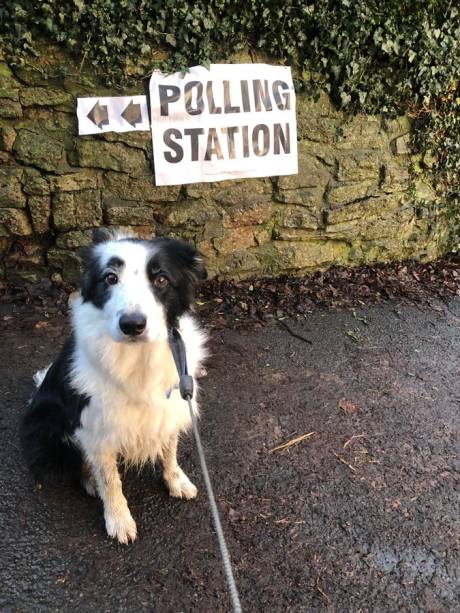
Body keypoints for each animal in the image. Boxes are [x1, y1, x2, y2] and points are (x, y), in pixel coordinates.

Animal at [20, 232, 207, 544]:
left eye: (161, 279)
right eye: (110, 278)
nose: (132, 325)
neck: (137, 357)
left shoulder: (171, 404)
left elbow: (170, 449)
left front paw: (176, 479)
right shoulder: (95, 426)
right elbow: (109, 479)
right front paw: (119, 519)